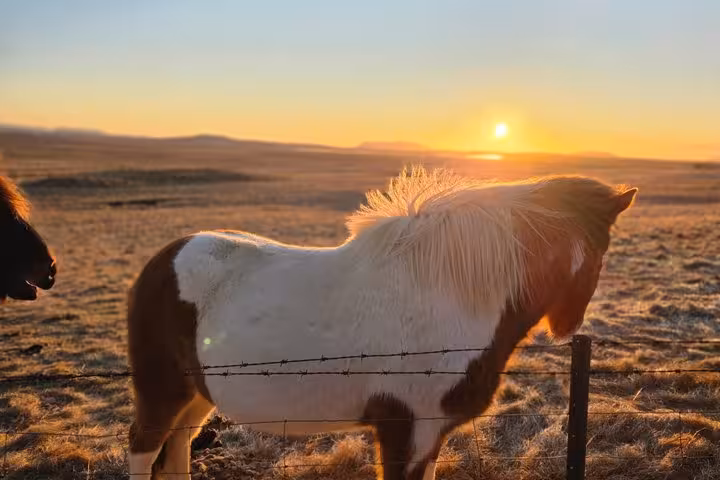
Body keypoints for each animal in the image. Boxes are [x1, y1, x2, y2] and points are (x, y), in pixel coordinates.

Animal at [127, 167, 636, 480]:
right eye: (601, 251)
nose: (567, 326)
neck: (450, 294)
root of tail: (162, 260)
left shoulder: (430, 433)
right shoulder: (403, 428)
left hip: (196, 395)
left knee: (176, 450)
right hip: (162, 390)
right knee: (144, 446)